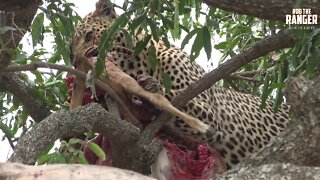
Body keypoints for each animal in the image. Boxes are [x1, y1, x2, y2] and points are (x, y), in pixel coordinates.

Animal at [70, 0, 290, 169]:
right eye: (71, 53)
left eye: (89, 36)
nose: (76, 61)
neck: (137, 63)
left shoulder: (212, 117)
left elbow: (174, 101)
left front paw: (151, 88)